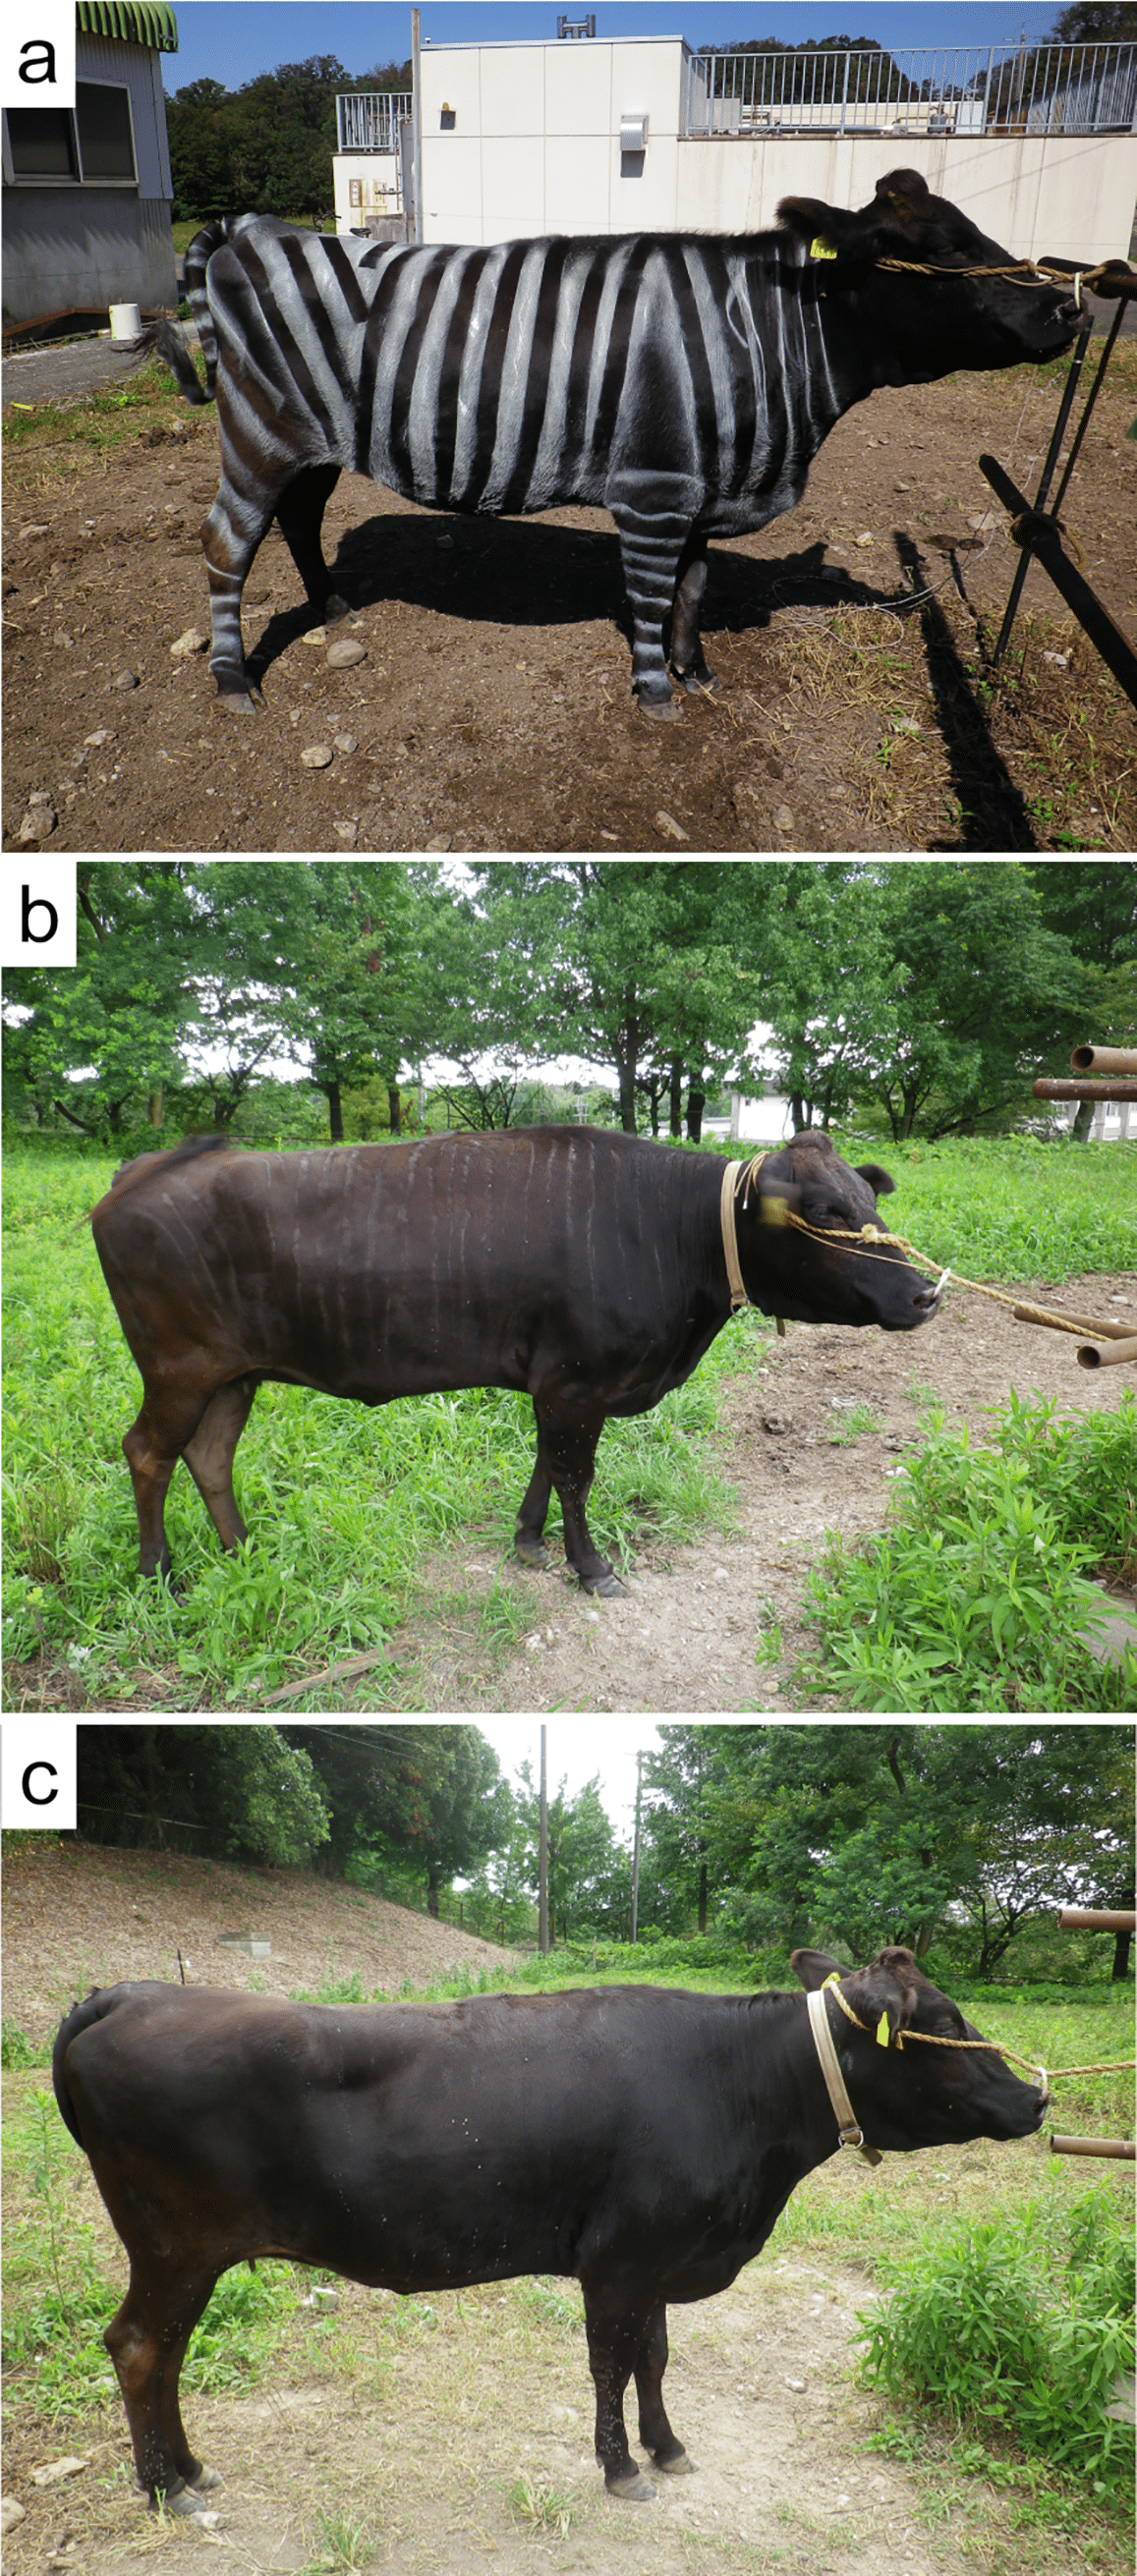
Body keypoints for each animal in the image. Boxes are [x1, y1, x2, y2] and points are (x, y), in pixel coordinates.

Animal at [52, 1949, 1047, 2515]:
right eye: (945, 2023)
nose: (1036, 2097)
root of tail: (128, 1994)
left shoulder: (659, 2256)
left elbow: (652, 2358)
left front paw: (667, 2447)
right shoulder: (620, 2258)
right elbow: (609, 2364)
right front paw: (620, 2468)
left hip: (185, 2251)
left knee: (161, 2352)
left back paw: (187, 2470)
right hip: (177, 2243)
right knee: (140, 2346)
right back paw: (165, 2489)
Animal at [90, 1126, 940, 1593]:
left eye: (869, 1204)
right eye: (824, 1212)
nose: (926, 1292)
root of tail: (150, 1165)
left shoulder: (555, 1382)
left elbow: (545, 1464)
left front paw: (529, 1542)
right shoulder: (577, 1381)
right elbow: (574, 1475)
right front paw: (590, 1567)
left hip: (232, 1374)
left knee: (209, 1454)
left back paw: (243, 1553)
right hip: (179, 1367)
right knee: (147, 1452)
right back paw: (160, 1574)